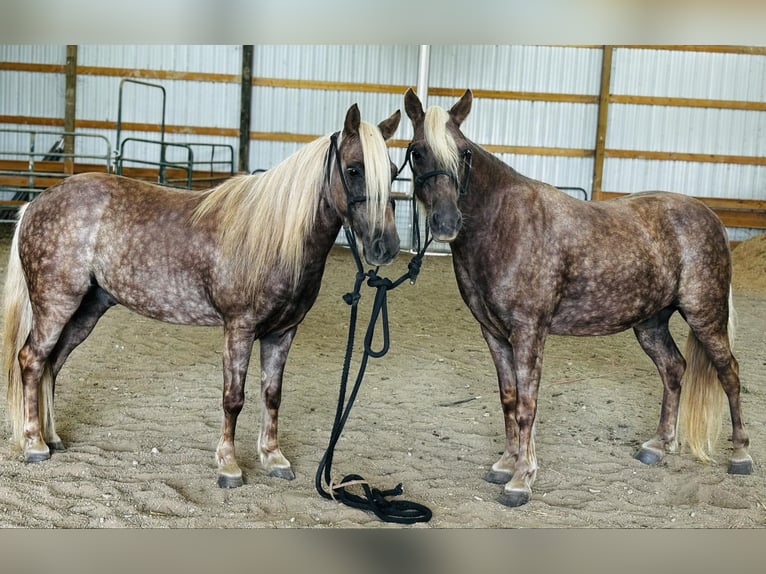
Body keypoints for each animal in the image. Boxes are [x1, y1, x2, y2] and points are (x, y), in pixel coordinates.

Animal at [3, 104, 404, 490]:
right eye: (354, 169)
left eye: (394, 170)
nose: (386, 246)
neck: (272, 237)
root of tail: (35, 204)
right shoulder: (239, 329)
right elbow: (233, 399)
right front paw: (229, 466)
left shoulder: (283, 332)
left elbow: (272, 395)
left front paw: (273, 458)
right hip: (56, 304)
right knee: (32, 360)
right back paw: (35, 443)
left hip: (87, 310)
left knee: (53, 364)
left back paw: (52, 436)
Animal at [404, 89, 752, 508]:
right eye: (417, 151)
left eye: (464, 152)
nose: (447, 222)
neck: (504, 223)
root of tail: (711, 217)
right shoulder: (493, 333)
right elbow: (508, 398)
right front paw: (505, 463)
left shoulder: (529, 332)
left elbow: (527, 405)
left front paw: (521, 479)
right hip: (651, 323)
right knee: (673, 369)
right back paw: (658, 445)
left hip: (705, 315)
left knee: (729, 373)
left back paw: (741, 455)